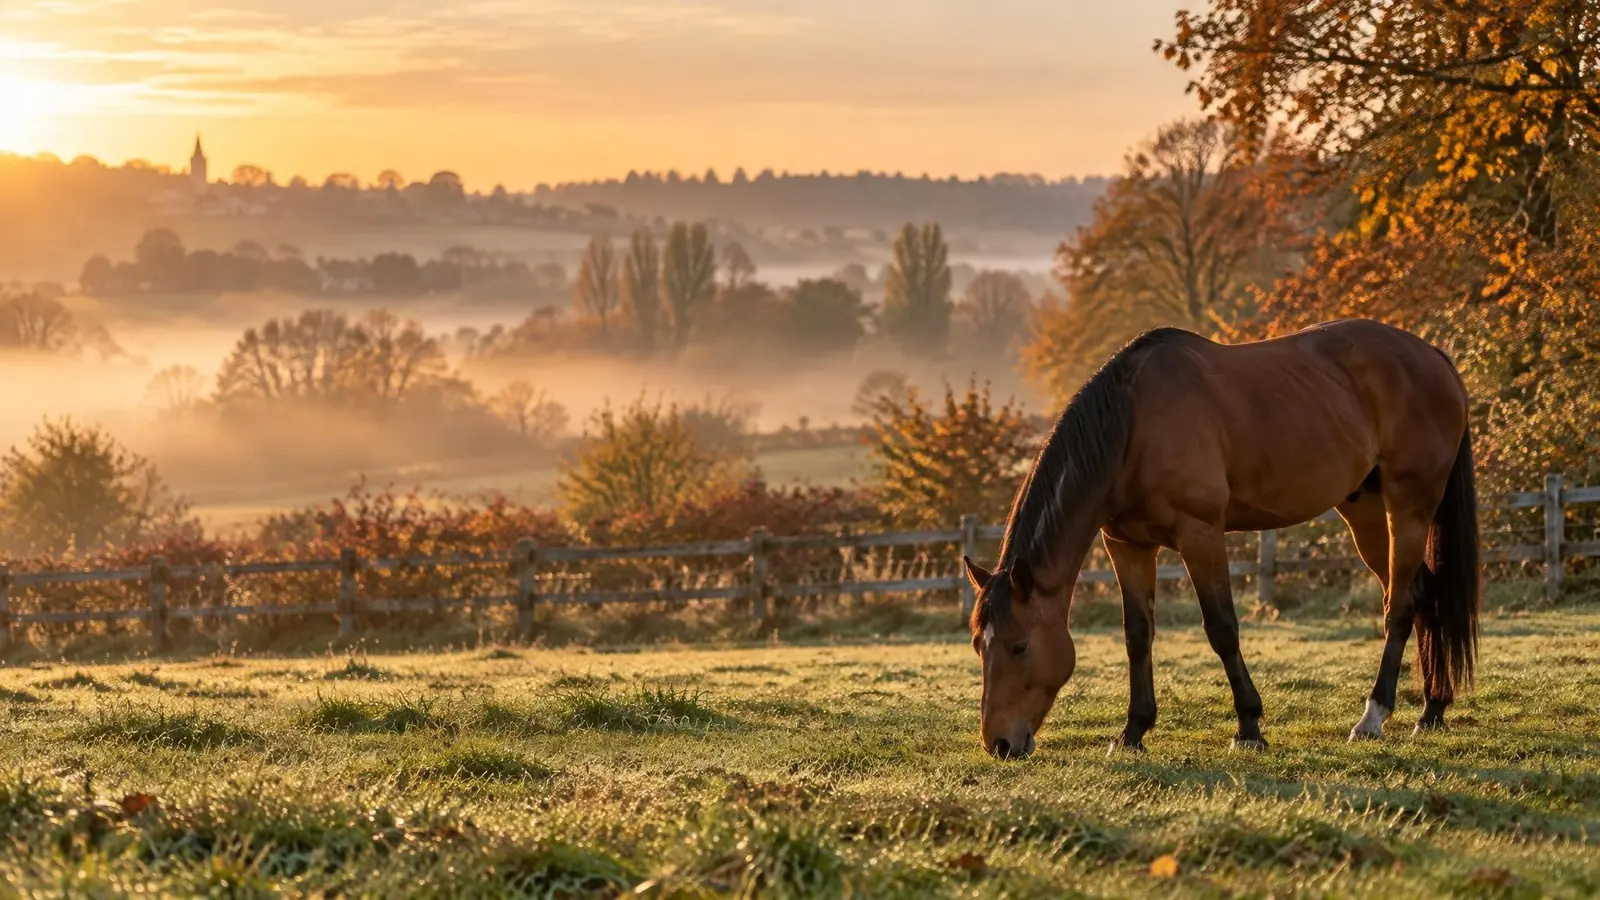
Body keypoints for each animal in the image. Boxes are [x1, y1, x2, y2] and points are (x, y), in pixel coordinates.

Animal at [963, 319, 1479, 758]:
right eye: (978, 645)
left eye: (1019, 646)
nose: (999, 743)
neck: (1133, 424)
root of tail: (1433, 356)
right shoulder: (1128, 546)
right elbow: (1137, 636)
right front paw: (1133, 732)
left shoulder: (1201, 534)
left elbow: (1222, 629)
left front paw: (1249, 727)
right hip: (1365, 512)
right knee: (1423, 594)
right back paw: (1432, 709)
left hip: (1409, 507)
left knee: (1401, 606)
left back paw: (1373, 717)